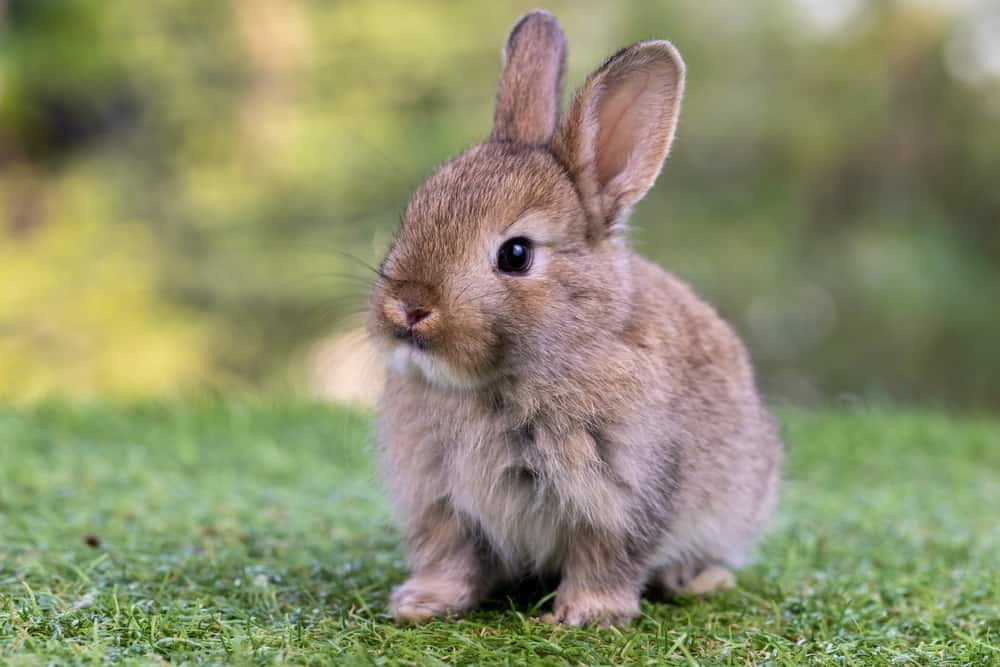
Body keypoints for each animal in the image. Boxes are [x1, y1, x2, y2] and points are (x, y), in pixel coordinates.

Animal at [366, 10, 783, 627]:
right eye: (412, 216)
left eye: (516, 254)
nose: (410, 307)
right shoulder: (442, 501)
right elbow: (449, 555)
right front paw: (422, 604)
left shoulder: (624, 493)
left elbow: (605, 555)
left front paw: (586, 614)